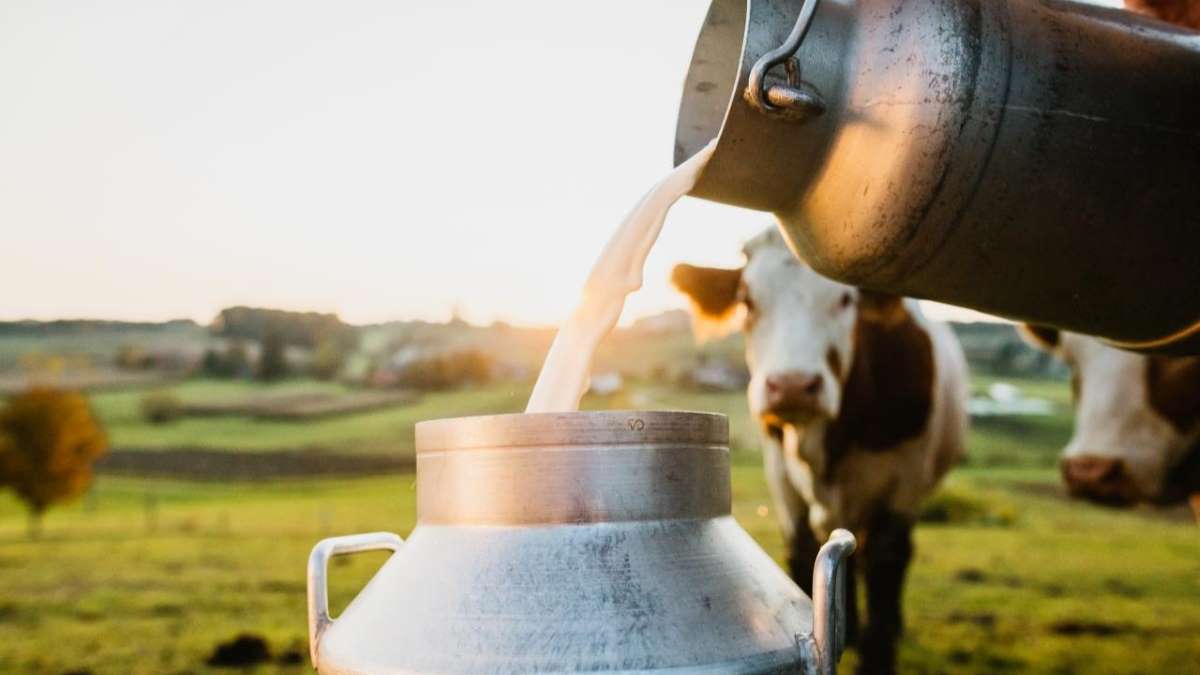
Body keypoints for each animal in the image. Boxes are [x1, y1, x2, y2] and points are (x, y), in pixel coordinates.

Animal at [672, 228, 969, 667]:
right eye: (747, 300)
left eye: (845, 300)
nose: (792, 385)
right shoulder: (782, 481)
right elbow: (802, 556)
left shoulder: (904, 484)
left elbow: (886, 565)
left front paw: (878, 644)